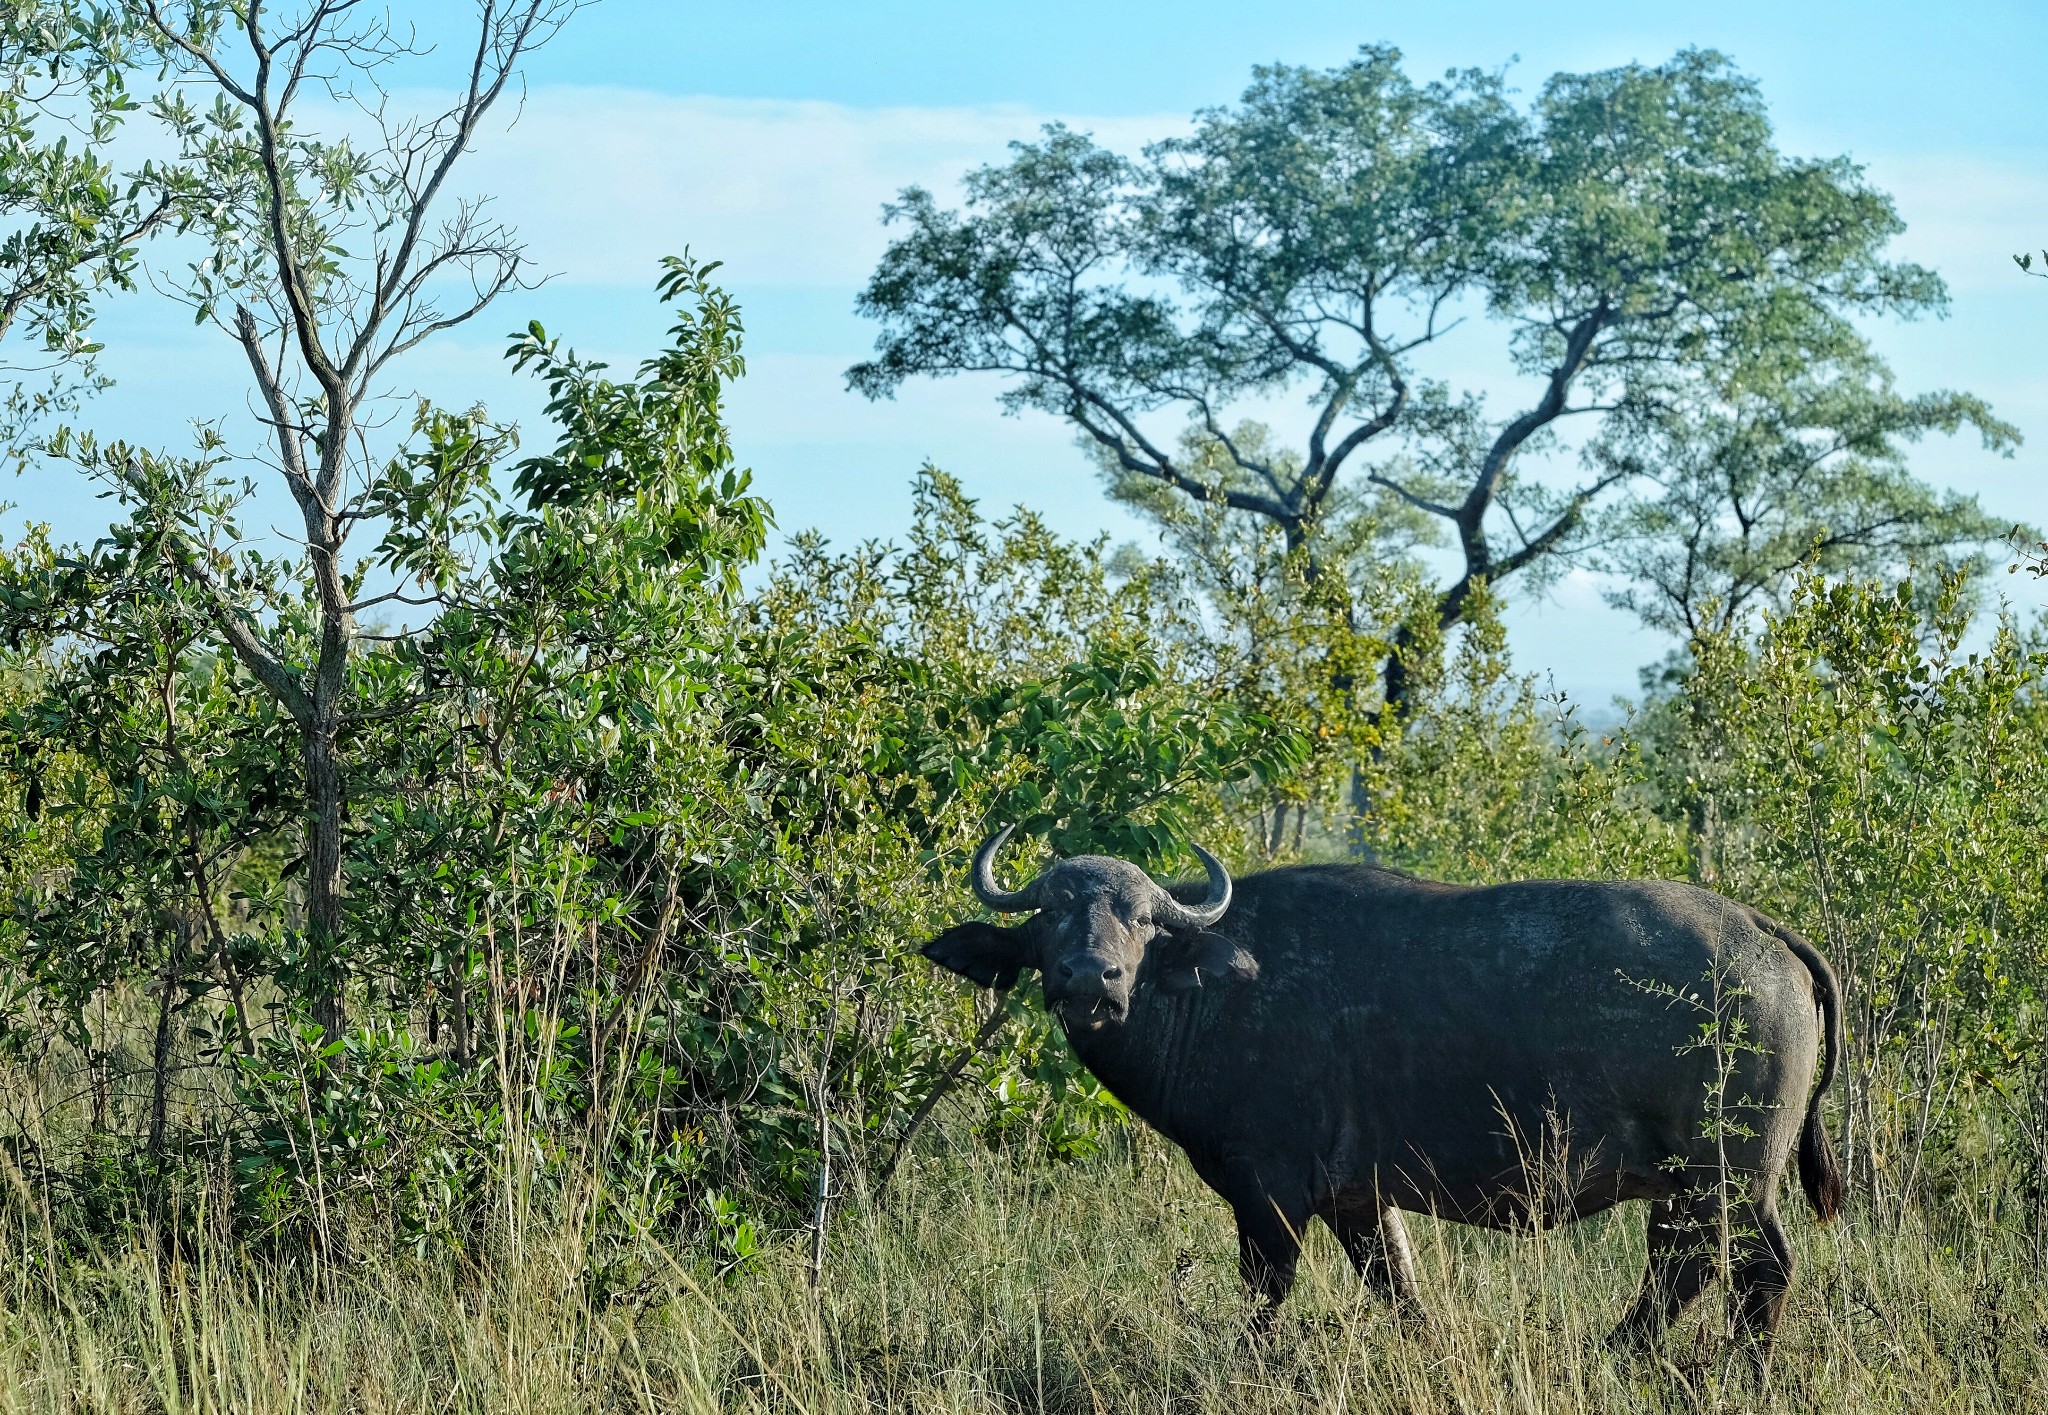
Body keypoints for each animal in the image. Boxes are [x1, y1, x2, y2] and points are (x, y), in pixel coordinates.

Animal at [921, 823, 1851, 1359]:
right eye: (1051, 915)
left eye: (1143, 920)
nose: (1091, 979)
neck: (1218, 990)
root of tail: (1760, 929)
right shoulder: (1358, 1198)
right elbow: (1397, 1287)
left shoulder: (1269, 1192)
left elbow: (1266, 1292)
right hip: (1694, 1188)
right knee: (1688, 1268)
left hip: (1730, 1177)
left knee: (1751, 1269)